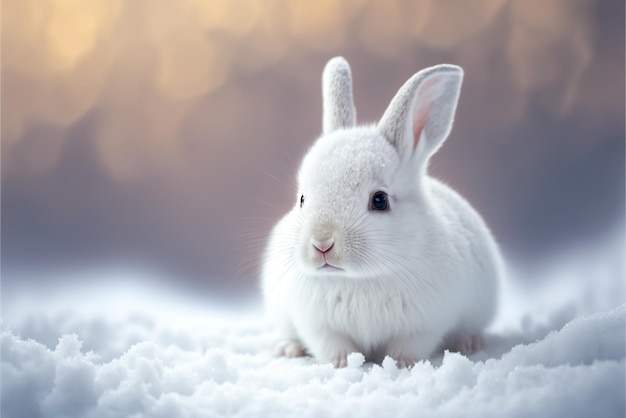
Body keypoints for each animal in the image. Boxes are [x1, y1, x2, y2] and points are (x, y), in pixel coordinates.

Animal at [260, 57, 500, 368]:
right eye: (302, 199)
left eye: (380, 200)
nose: (322, 244)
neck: (359, 279)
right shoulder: (317, 326)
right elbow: (332, 346)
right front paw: (342, 364)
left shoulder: (426, 324)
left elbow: (408, 346)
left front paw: (400, 364)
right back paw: (288, 349)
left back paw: (469, 343)